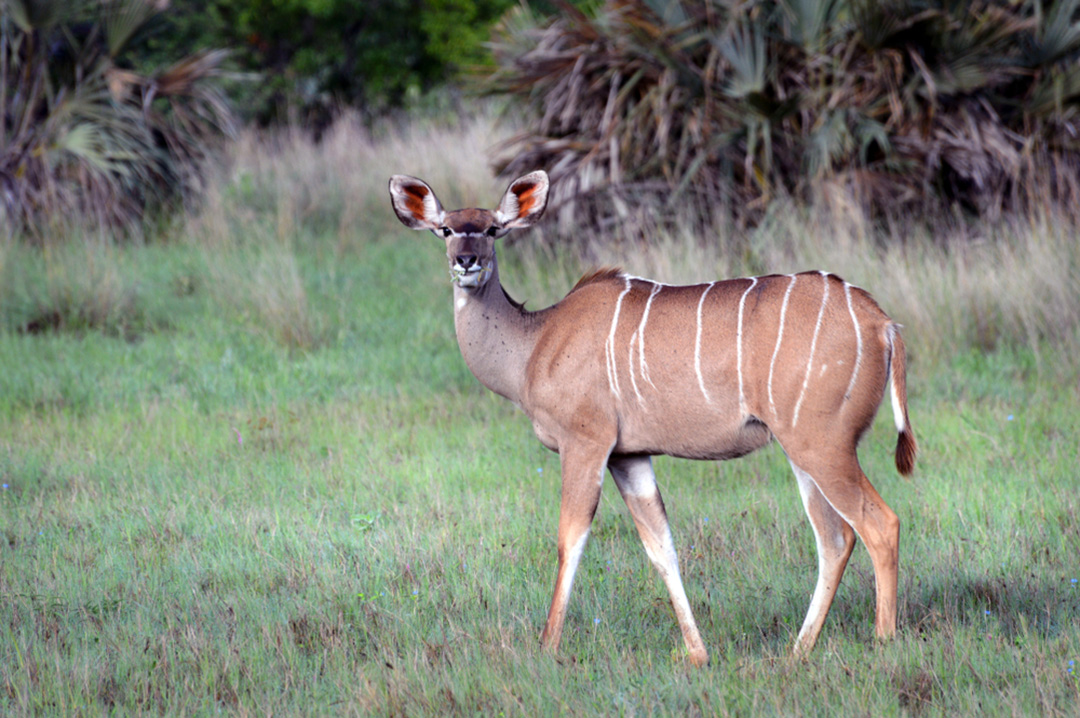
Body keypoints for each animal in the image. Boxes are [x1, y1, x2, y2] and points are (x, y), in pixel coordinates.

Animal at [384, 170, 915, 665]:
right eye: (445, 229)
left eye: (493, 229)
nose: (466, 261)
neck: (535, 341)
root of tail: (882, 324)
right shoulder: (630, 456)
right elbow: (662, 549)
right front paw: (698, 654)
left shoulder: (586, 443)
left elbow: (570, 539)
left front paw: (548, 646)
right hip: (801, 449)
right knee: (835, 538)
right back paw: (798, 652)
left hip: (822, 443)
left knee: (880, 525)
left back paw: (883, 641)